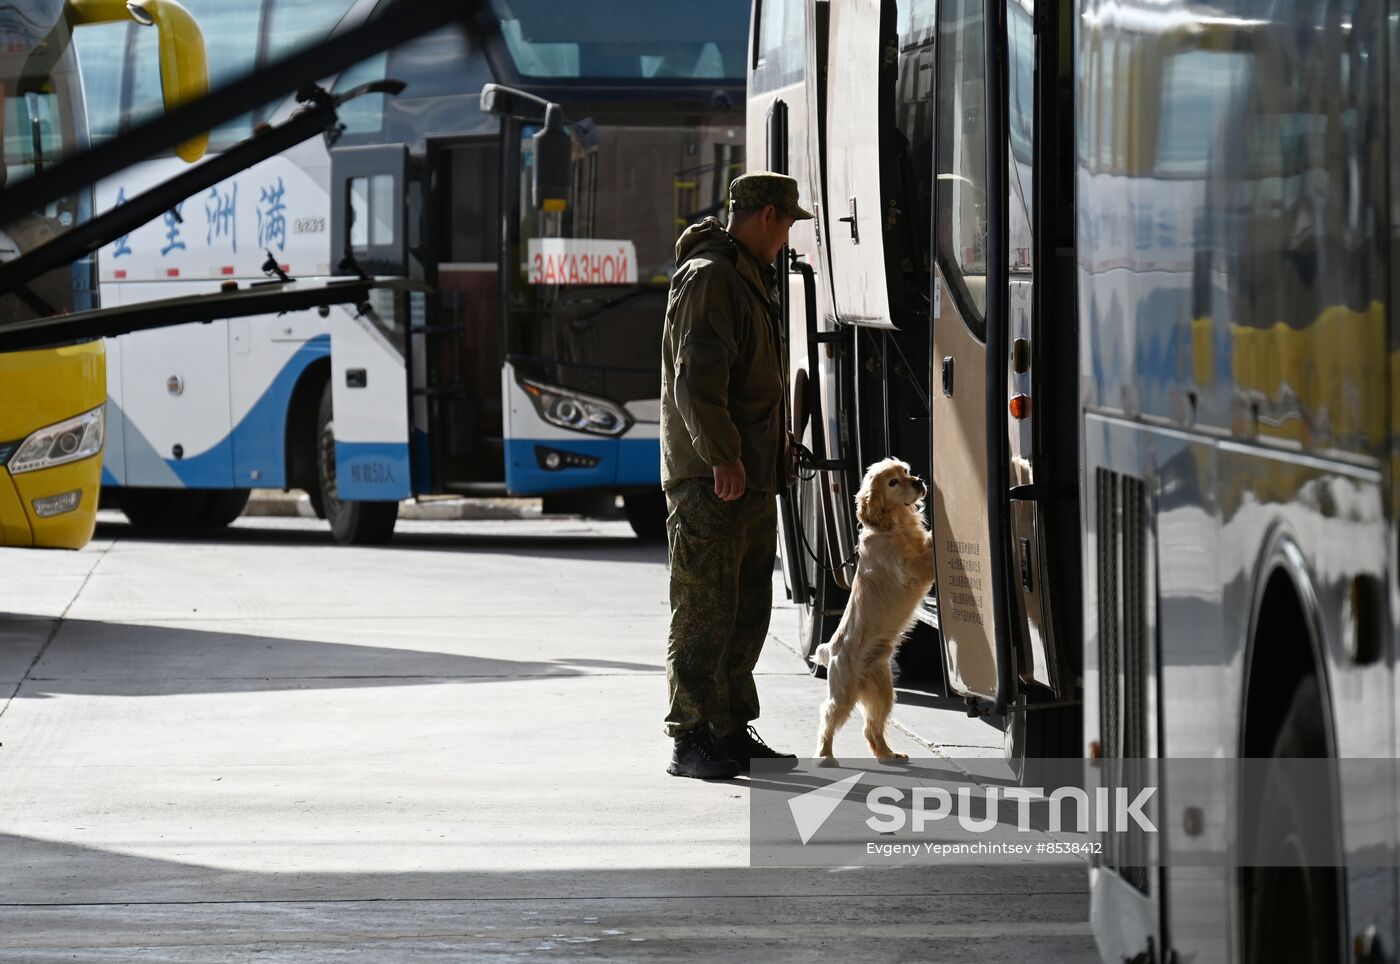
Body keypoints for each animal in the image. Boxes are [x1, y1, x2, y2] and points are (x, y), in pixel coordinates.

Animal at [817, 456, 935, 761]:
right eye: (893, 482)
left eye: (906, 471)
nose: (919, 482)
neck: (895, 525)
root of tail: (831, 649)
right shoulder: (909, 570)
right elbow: (925, 557)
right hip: (843, 693)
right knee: (827, 718)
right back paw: (825, 755)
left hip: (883, 692)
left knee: (871, 729)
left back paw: (889, 754)